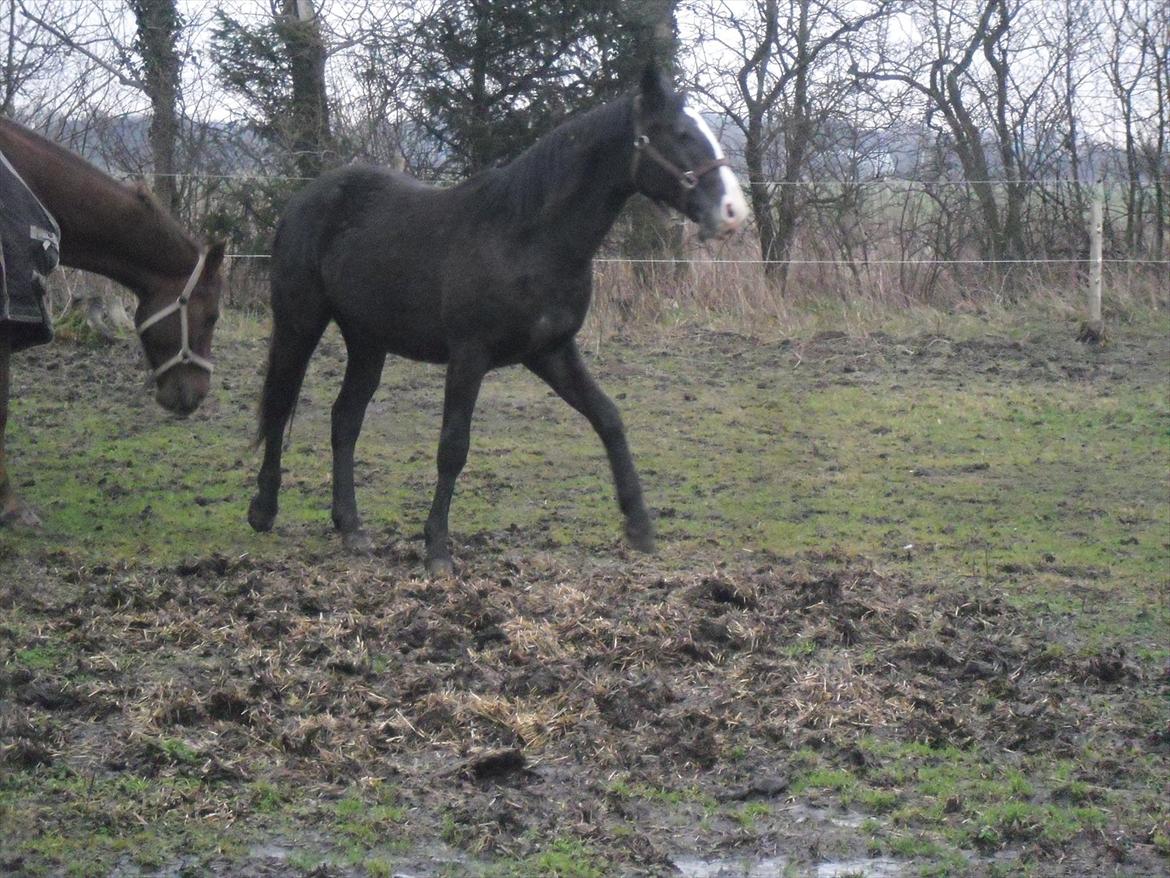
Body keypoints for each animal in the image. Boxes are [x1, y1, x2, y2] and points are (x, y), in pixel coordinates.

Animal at [249, 68, 748, 578]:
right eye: (681, 134)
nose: (733, 212)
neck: (528, 238)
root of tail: (303, 198)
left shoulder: (551, 352)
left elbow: (608, 418)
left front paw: (640, 526)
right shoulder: (469, 355)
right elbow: (453, 447)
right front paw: (437, 549)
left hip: (367, 340)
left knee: (344, 420)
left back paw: (350, 527)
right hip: (300, 322)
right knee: (280, 402)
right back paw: (264, 511)